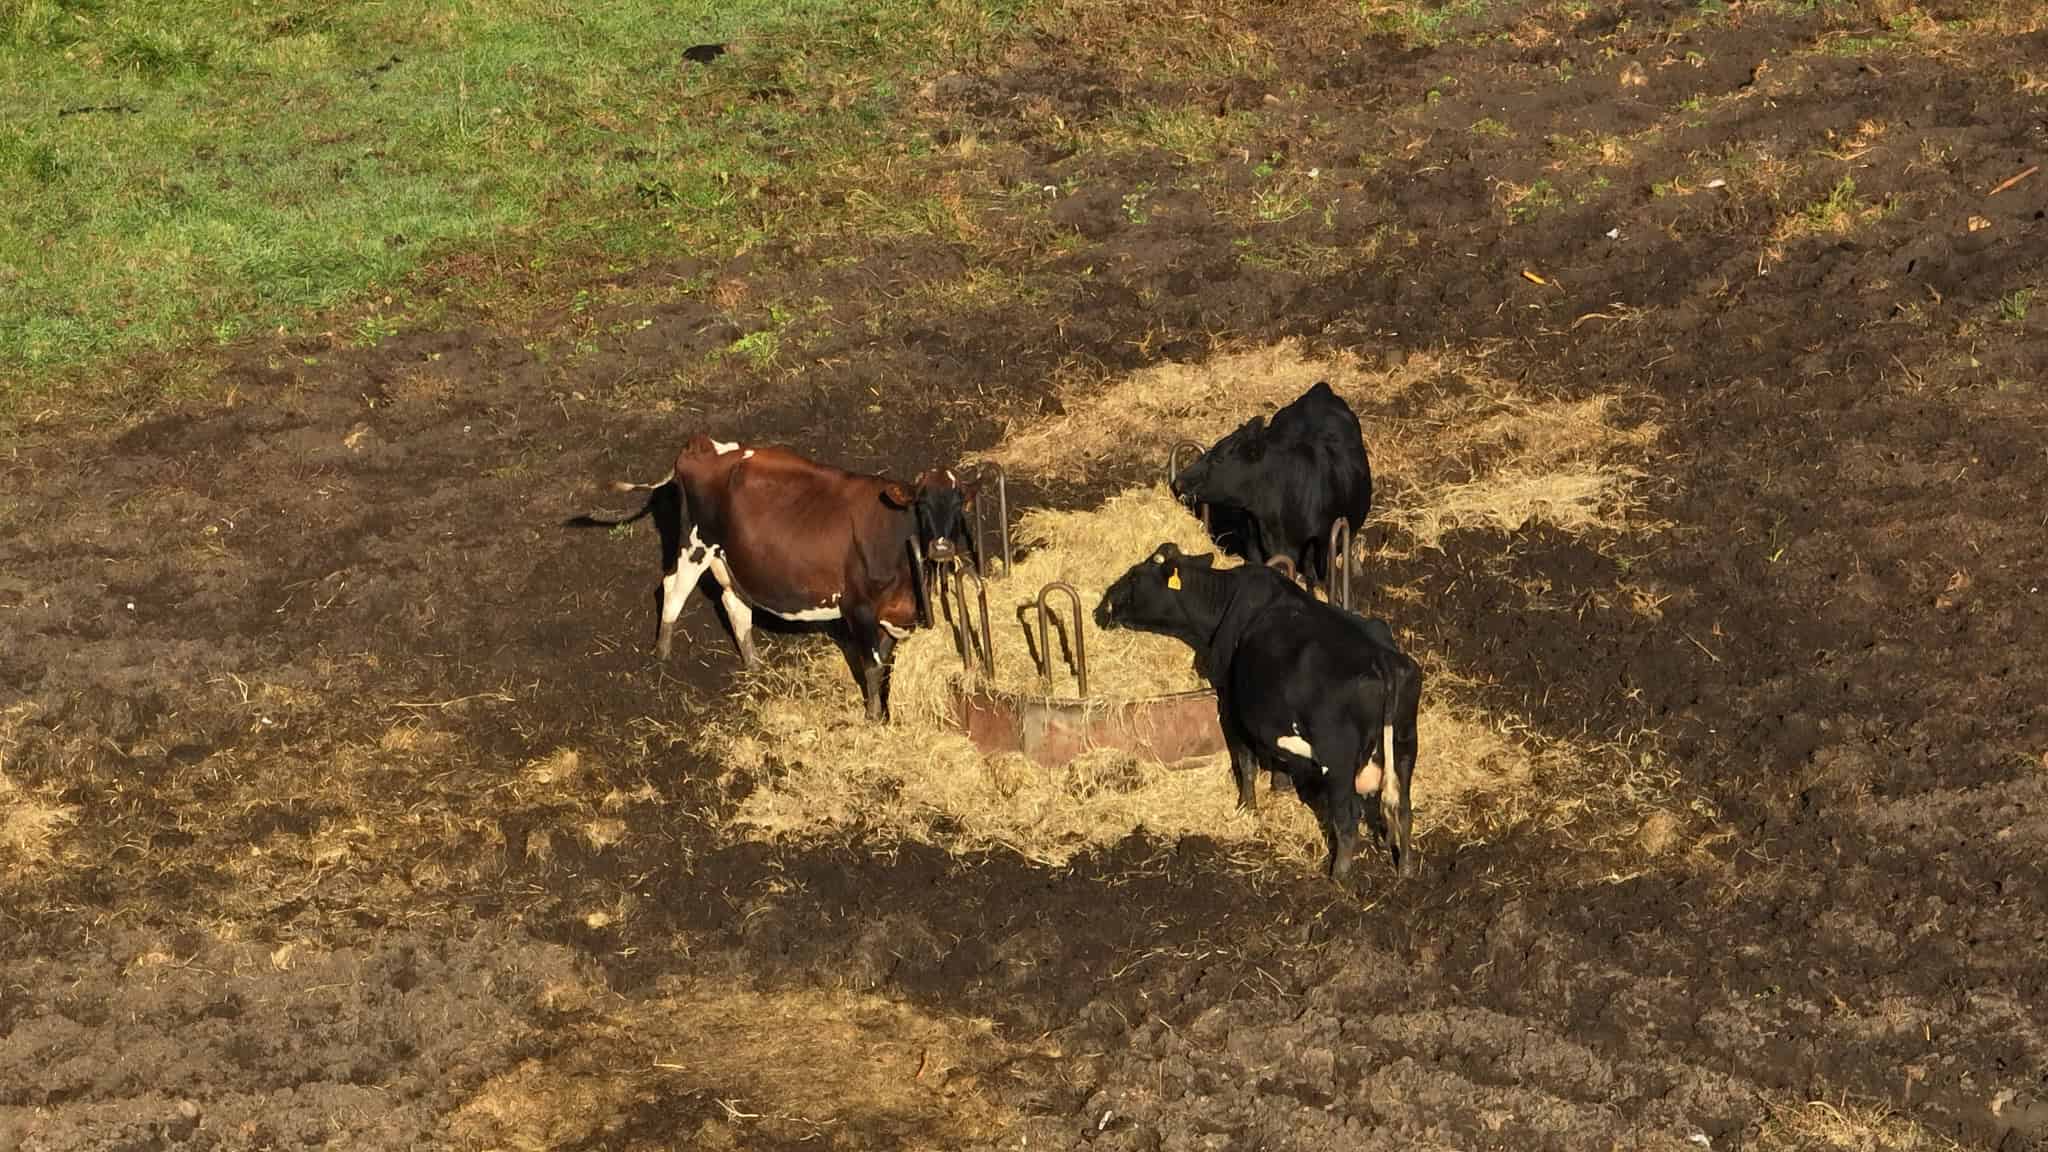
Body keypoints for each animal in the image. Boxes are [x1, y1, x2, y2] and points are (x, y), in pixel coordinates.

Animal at [570, 435, 977, 721]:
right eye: (921, 503)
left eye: (959, 505)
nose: (942, 547)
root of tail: (703, 445)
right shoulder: (858, 607)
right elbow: (873, 665)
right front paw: (874, 717)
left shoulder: (896, 612)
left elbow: (887, 658)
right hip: (695, 545)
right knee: (673, 589)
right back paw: (662, 653)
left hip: (731, 560)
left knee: (734, 604)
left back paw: (754, 665)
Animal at [1095, 543, 1420, 881]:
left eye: (1134, 576)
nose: (1102, 608)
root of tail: (1382, 658)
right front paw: (1280, 785)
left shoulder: (1230, 704)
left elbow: (1245, 761)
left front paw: (1247, 807)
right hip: (1406, 745)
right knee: (1404, 809)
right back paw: (1406, 869)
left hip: (1339, 761)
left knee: (1347, 821)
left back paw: (1337, 876)